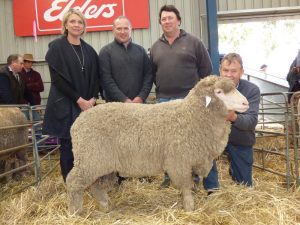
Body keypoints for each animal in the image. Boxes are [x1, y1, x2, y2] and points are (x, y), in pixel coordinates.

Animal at [67, 75, 250, 214]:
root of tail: (77, 123)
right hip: (89, 159)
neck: (191, 115)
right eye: (219, 92)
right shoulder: (179, 161)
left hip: (104, 165)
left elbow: (192, 183)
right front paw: (189, 207)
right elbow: (185, 186)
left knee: (97, 187)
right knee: (73, 182)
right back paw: (76, 212)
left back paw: (105, 206)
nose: (245, 103)